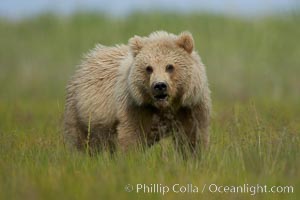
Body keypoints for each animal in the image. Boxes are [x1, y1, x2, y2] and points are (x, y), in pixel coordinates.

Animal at [63, 30, 211, 155]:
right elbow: (131, 136)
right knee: (80, 141)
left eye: (169, 67)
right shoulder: (135, 106)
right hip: (81, 112)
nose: (159, 86)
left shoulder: (190, 107)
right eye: (149, 68)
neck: (165, 107)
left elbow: (192, 137)